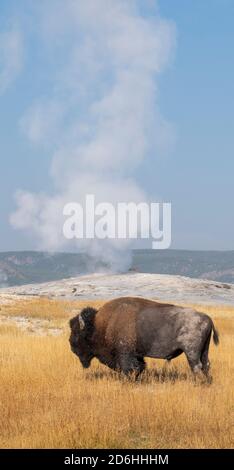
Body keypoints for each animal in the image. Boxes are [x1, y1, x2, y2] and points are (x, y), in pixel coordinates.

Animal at [68, 298, 218, 378]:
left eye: (77, 333)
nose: (71, 344)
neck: (100, 325)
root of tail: (207, 318)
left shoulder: (125, 354)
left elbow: (129, 368)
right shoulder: (137, 355)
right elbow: (140, 366)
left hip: (191, 352)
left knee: (196, 366)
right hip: (204, 350)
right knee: (206, 365)